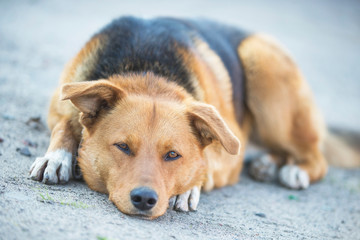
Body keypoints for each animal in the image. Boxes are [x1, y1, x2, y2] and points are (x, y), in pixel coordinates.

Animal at [28, 17, 360, 219]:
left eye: (173, 155)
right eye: (122, 147)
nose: (145, 200)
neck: (148, 68)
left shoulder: (230, 148)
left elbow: (207, 160)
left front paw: (189, 186)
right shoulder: (60, 103)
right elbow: (66, 123)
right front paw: (56, 156)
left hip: (263, 67)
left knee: (316, 157)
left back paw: (294, 170)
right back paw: (268, 164)